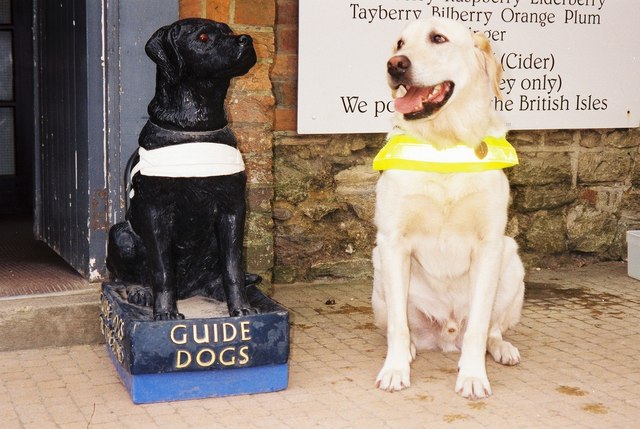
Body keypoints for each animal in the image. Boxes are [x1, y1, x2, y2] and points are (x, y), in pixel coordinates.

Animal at [370, 16, 524, 398]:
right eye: (399, 44)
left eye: (438, 38)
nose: (395, 65)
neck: (444, 146)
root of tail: (446, 336)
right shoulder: (393, 241)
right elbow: (397, 326)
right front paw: (395, 370)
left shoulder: (488, 244)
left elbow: (479, 327)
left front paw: (473, 376)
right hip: (379, 271)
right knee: (400, 325)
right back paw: (410, 350)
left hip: (512, 260)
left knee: (491, 329)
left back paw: (501, 349)